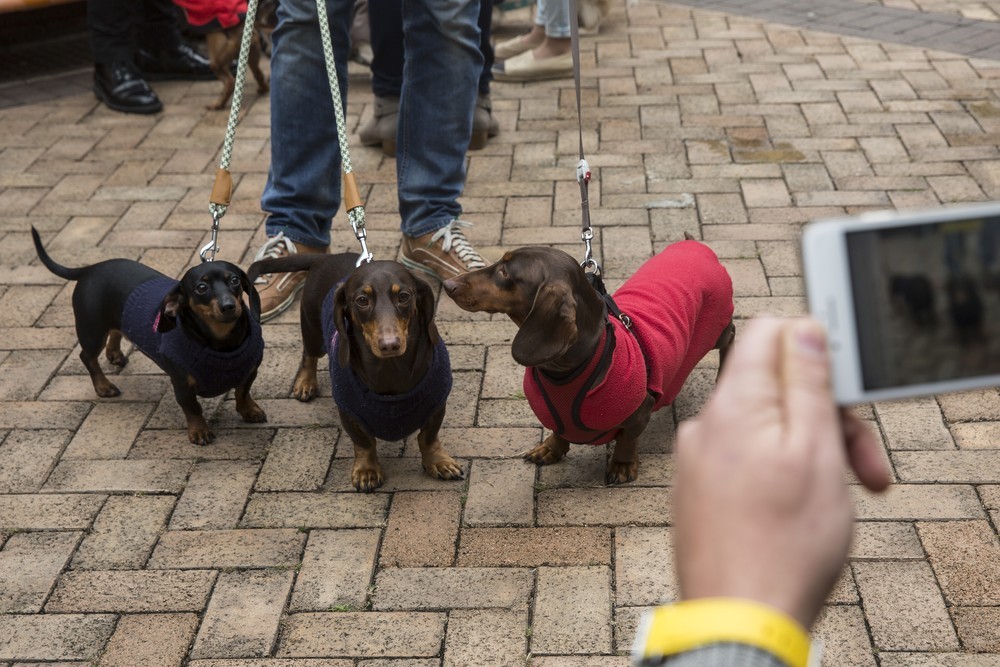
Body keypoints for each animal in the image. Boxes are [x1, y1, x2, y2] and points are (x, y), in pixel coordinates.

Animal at [31, 228, 266, 444]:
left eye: (234, 280)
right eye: (201, 287)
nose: (229, 306)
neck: (223, 342)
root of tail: (89, 269)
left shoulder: (251, 370)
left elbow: (243, 391)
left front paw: (249, 410)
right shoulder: (182, 384)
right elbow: (193, 408)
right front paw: (199, 431)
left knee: (115, 332)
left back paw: (115, 354)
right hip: (92, 331)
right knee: (86, 357)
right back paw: (103, 386)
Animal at [254, 253, 464, 494]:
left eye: (403, 296)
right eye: (362, 300)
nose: (389, 345)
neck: (391, 370)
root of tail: (327, 257)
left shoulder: (436, 405)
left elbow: (428, 438)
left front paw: (438, 462)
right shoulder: (349, 411)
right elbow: (364, 443)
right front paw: (367, 470)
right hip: (312, 331)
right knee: (308, 354)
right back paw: (305, 383)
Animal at [446, 237, 736, 482]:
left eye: (505, 272)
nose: (448, 284)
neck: (567, 369)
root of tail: (697, 246)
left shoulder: (641, 410)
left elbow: (627, 440)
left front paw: (621, 466)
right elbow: (559, 431)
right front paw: (549, 449)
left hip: (717, 331)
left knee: (731, 335)